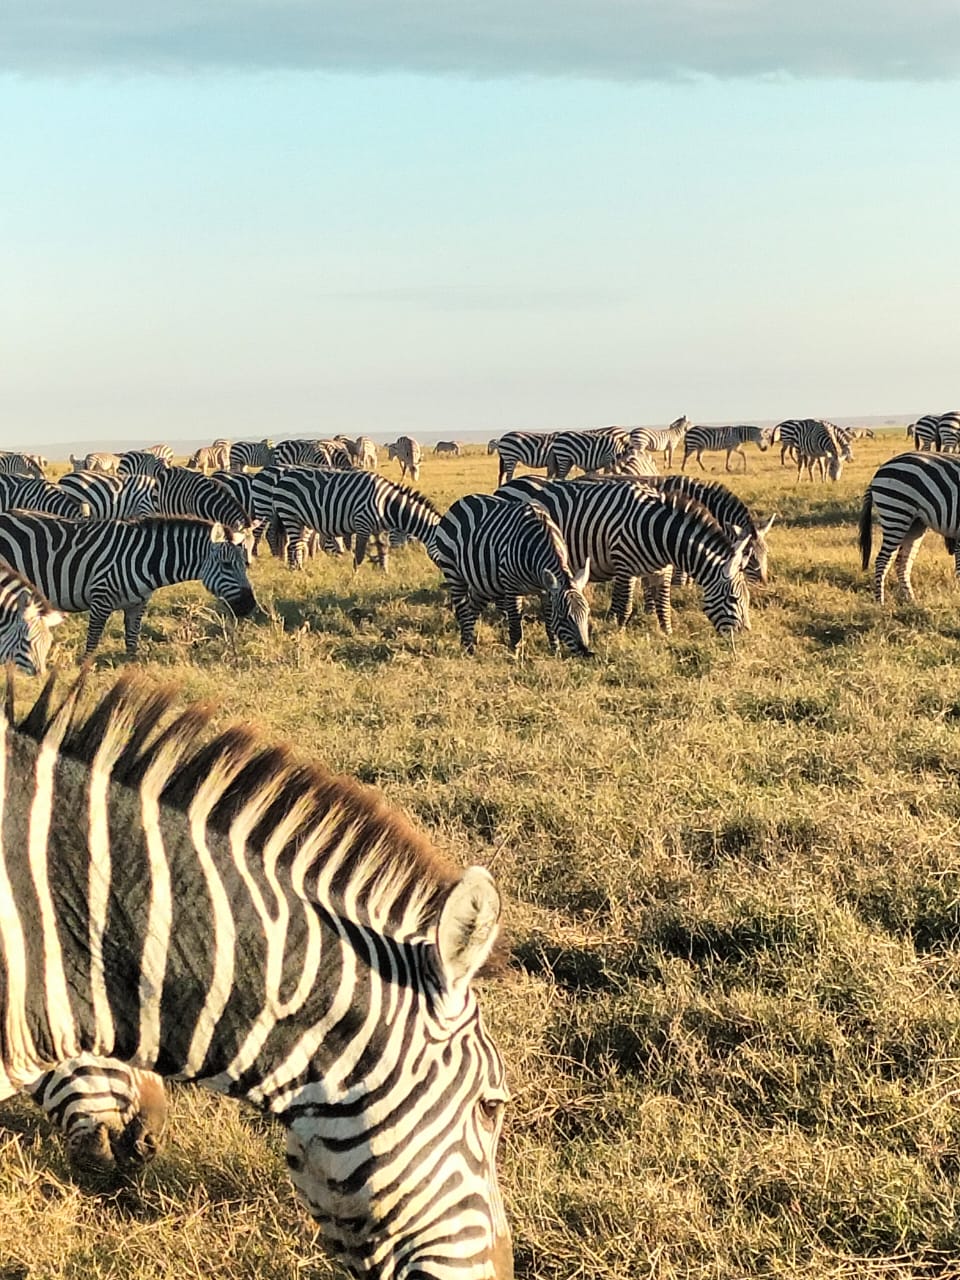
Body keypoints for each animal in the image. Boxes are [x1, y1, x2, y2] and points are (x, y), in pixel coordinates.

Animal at [0, 514, 256, 655]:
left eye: (245, 565)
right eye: (226, 565)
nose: (250, 606)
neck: (144, 558)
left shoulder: (137, 605)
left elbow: (132, 643)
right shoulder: (100, 600)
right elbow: (92, 643)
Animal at [272, 468, 441, 571]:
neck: (386, 505)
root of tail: (284, 476)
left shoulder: (378, 529)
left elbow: (382, 550)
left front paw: (384, 572)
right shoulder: (363, 523)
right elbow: (359, 554)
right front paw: (355, 576)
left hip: (303, 521)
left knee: (295, 545)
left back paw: (294, 570)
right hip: (289, 515)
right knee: (295, 545)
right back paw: (300, 570)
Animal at [431, 491, 593, 655]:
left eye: (587, 613)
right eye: (563, 617)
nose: (586, 651)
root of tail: (460, 502)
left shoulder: (546, 590)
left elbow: (549, 623)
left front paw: (555, 651)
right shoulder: (512, 586)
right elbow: (515, 625)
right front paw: (515, 654)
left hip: (482, 583)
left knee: (472, 608)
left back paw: (469, 645)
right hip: (454, 573)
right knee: (463, 610)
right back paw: (467, 648)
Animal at [498, 477, 752, 636]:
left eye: (747, 600)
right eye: (734, 599)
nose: (744, 636)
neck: (660, 533)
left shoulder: (662, 570)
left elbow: (663, 604)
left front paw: (666, 634)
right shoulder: (624, 566)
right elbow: (624, 605)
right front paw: (618, 633)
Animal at [860, 452, 960, 603]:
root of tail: (881, 469)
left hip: (915, 523)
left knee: (902, 562)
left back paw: (911, 601)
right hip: (896, 514)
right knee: (882, 560)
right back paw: (880, 602)